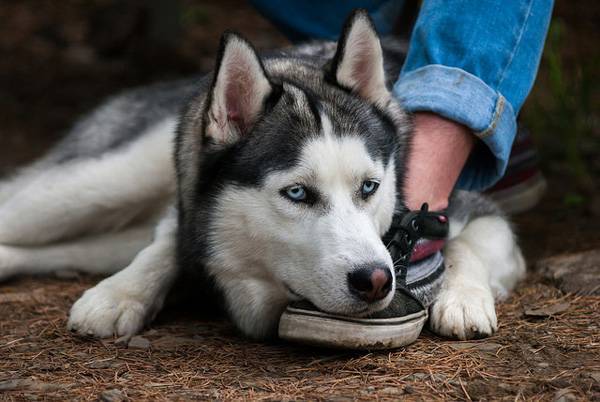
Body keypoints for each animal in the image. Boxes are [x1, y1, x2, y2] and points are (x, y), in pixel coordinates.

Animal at [0, 11, 524, 340]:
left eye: (369, 188)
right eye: (297, 193)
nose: (377, 281)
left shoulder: (476, 212)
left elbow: (470, 243)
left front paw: (463, 297)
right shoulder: (187, 211)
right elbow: (166, 244)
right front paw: (120, 292)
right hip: (95, 186)